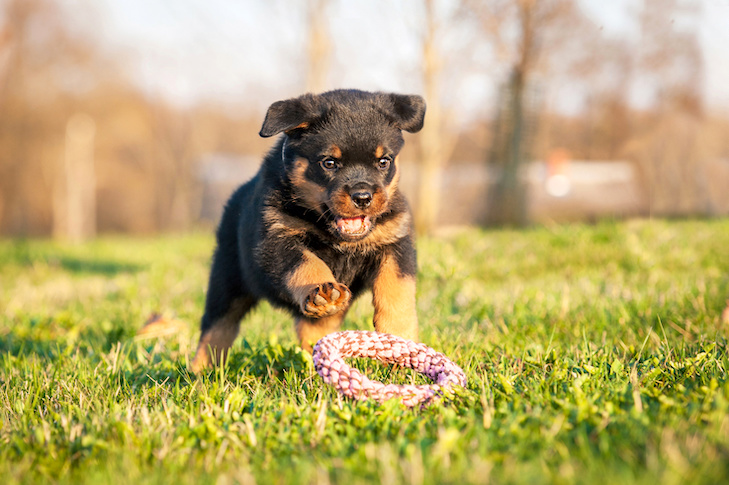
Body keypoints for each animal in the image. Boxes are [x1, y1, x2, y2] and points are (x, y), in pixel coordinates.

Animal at [191, 90, 424, 370]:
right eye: (329, 163)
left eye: (383, 162)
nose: (363, 197)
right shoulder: (276, 240)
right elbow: (305, 264)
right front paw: (322, 288)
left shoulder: (395, 242)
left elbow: (397, 289)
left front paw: (400, 338)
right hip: (227, 280)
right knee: (217, 327)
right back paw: (201, 371)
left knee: (316, 328)